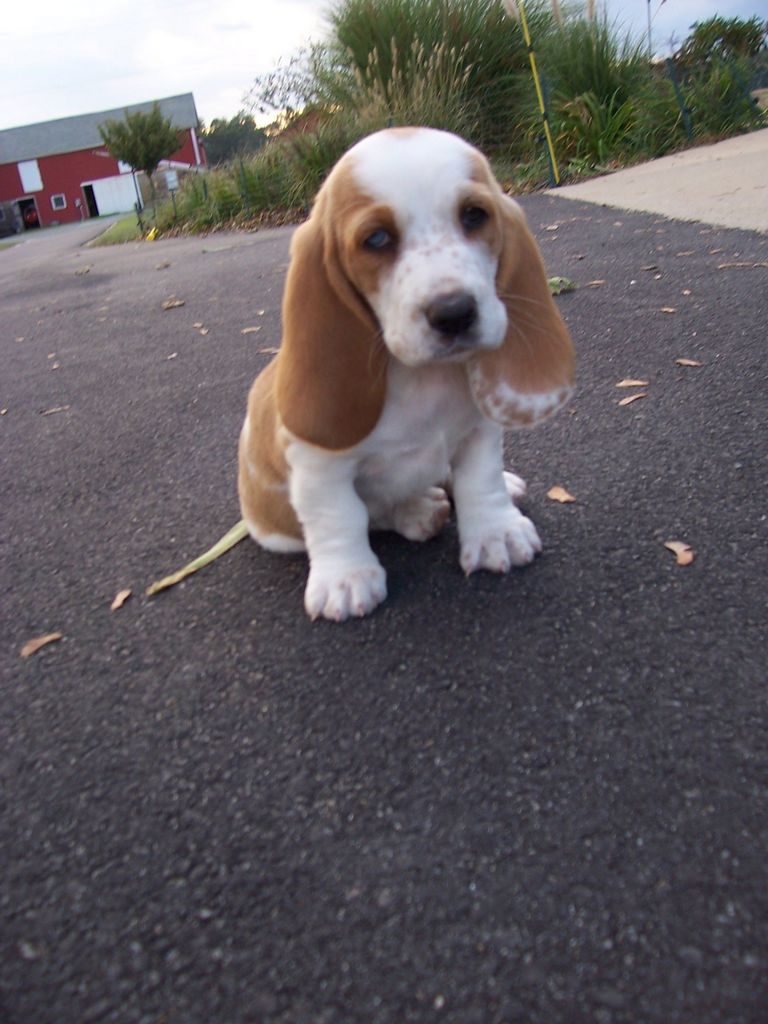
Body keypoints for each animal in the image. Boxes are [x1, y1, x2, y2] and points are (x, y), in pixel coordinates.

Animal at [237, 129, 573, 622]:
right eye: (376, 238)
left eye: (475, 215)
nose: (454, 313)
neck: (422, 380)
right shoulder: (318, 467)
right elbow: (340, 515)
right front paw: (346, 579)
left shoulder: (479, 431)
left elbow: (480, 480)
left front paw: (497, 533)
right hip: (274, 527)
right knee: (375, 515)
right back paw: (416, 512)